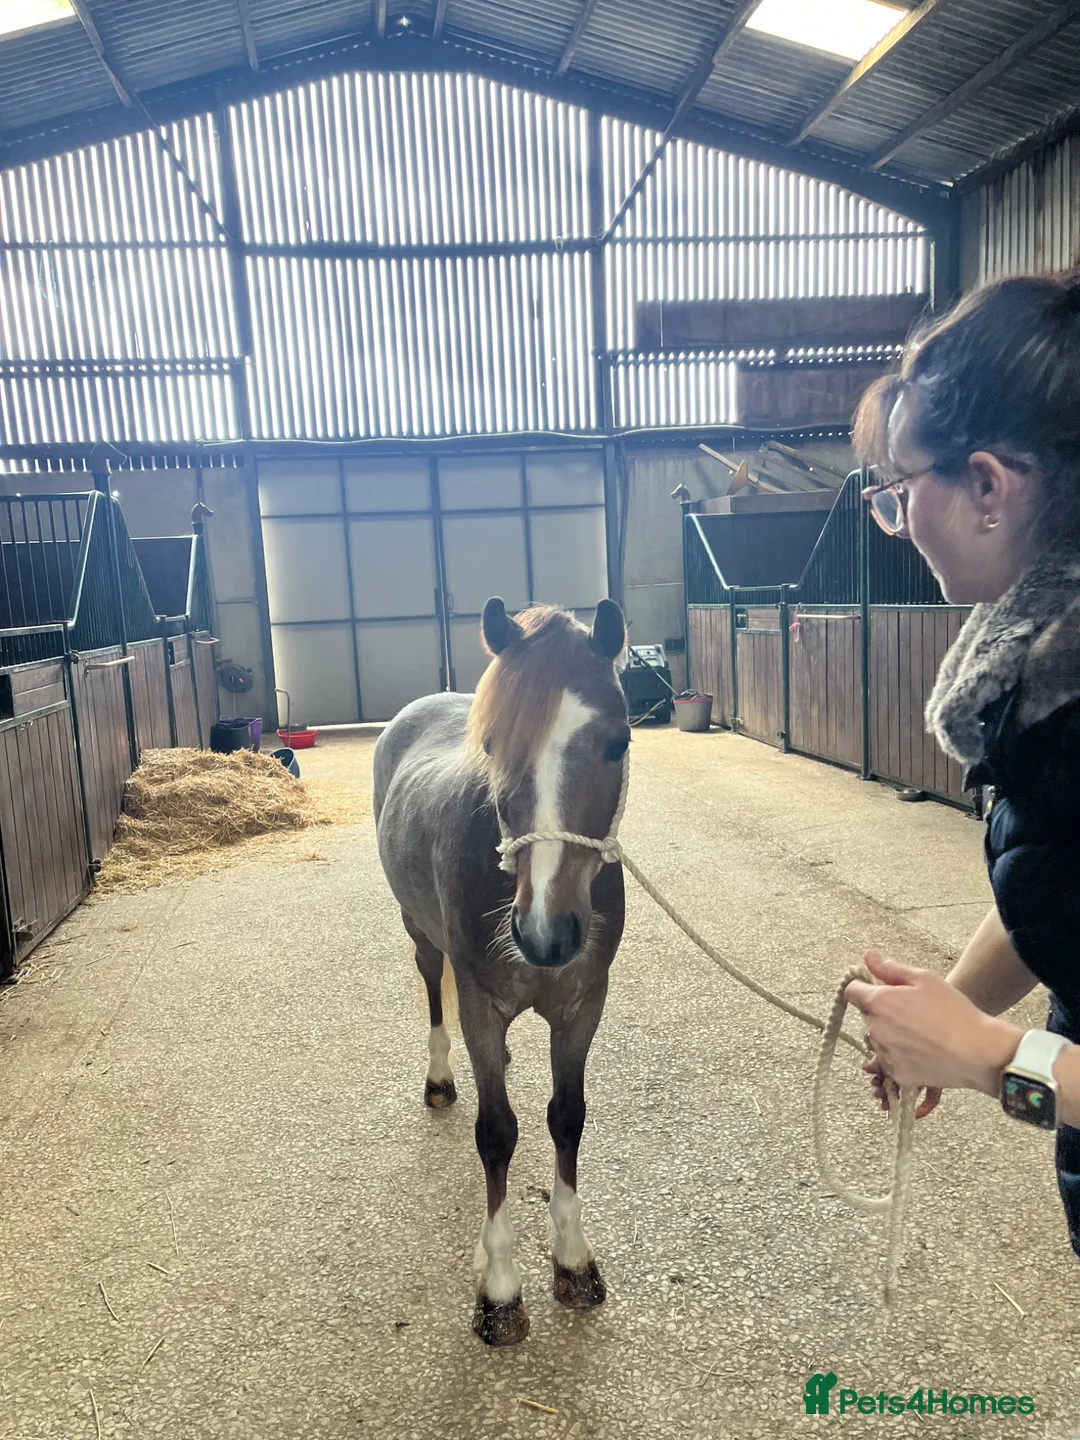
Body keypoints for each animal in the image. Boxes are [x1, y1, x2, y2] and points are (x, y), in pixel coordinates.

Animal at [373, 596, 629, 1346]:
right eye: (492, 747)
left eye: (618, 743)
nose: (545, 932)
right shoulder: (482, 1006)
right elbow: (497, 1134)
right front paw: (501, 1287)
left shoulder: (582, 1003)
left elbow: (567, 1118)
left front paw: (572, 1259)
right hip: (421, 937)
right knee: (433, 993)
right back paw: (439, 1078)